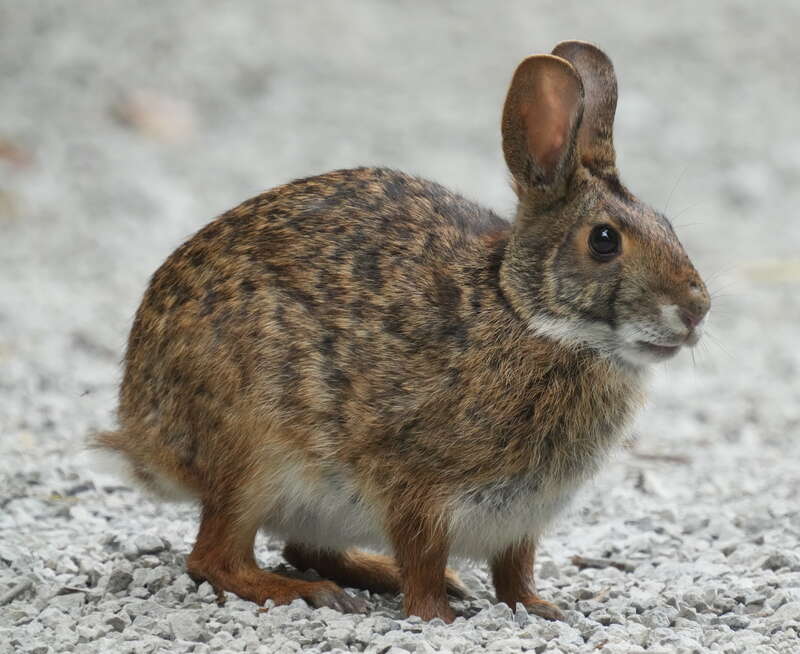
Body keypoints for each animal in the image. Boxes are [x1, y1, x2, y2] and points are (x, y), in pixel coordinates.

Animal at [93, 40, 710, 623]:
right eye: (604, 241)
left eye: (668, 225)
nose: (697, 309)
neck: (527, 314)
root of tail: (143, 432)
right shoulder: (417, 484)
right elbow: (423, 557)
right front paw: (437, 616)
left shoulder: (522, 521)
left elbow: (515, 570)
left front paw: (538, 608)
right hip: (253, 453)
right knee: (215, 558)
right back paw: (314, 594)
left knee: (299, 548)